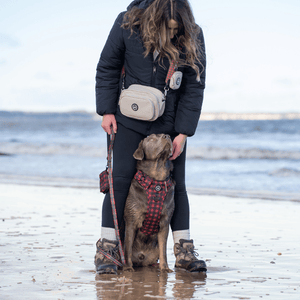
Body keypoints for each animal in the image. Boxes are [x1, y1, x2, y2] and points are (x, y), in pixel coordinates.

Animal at [123, 133, 176, 272]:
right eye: (151, 138)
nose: (167, 135)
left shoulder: (165, 222)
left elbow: (163, 249)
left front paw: (165, 268)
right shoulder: (131, 220)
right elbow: (127, 247)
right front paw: (128, 267)